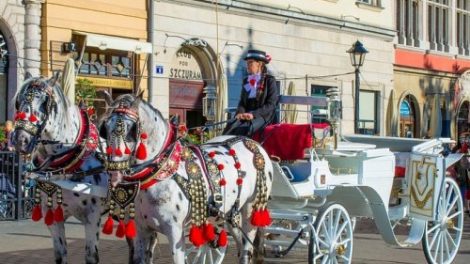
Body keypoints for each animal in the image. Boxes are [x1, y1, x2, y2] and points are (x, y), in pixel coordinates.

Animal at [13, 73, 109, 264]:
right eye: (18, 102)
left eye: (45, 102)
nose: (20, 140)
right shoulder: (53, 218)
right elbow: (60, 254)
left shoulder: (92, 217)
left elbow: (91, 256)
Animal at [99, 94, 274, 262]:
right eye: (105, 128)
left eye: (131, 129)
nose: (114, 172)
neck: (161, 173)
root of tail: (254, 143)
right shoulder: (142, 230)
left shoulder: (175, 231)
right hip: (230, 214)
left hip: (251, 209)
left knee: (247, 250)